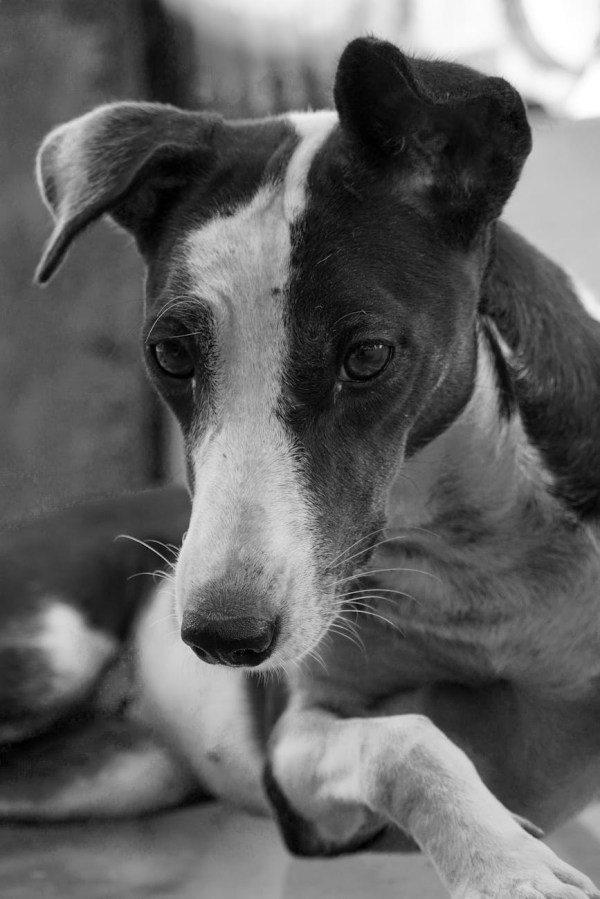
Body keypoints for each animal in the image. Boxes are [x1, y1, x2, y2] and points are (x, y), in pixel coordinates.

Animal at [3, 35, 600, 898]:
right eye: (170, 353)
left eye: (369, 355)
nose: (222, 639)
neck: (473, 554)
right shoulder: (298, 769)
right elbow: (410, 737)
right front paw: (507, 865)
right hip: (50, 651)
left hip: (112, 770)